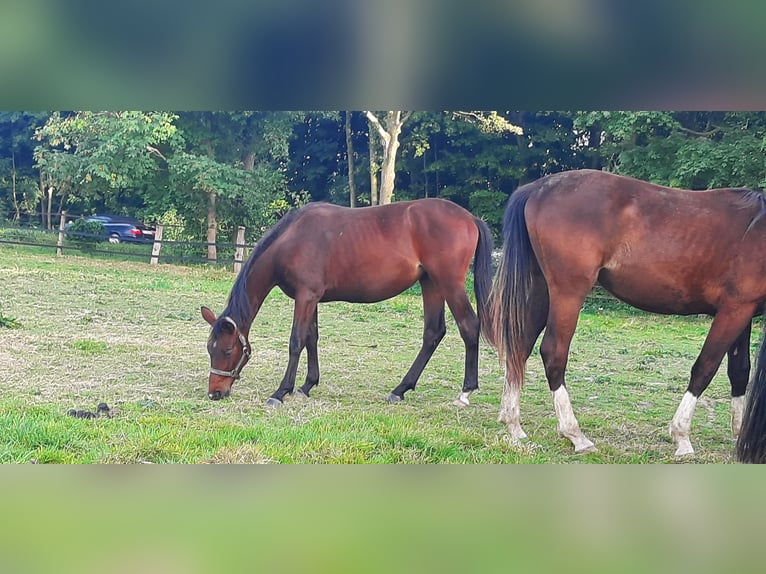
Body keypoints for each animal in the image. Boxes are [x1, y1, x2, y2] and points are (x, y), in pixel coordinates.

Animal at [201, 198, 496, 410]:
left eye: (228, 350)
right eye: (209, 349)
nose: (215, 393)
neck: (292, 239)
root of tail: (470, 218)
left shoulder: (305, 296)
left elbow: (296, 341)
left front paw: (281, 392)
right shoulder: (312, 298)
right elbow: (312, 338)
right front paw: (307, 385)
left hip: (448, 284)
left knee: (469, 326)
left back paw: (466, 391)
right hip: (430, 284)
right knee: (433, 333)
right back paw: (400, 389)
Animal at [488, 170, 764, 460]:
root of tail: (538, 188)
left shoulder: (743, 313)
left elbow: (739, 371)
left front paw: (739, 435)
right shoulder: (733, 310)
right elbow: (705, 367)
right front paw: (682, 437)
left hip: (541, 288)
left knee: (520, 347)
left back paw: (513, 424)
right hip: (568, 293)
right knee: (553, 353)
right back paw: (575, 434)